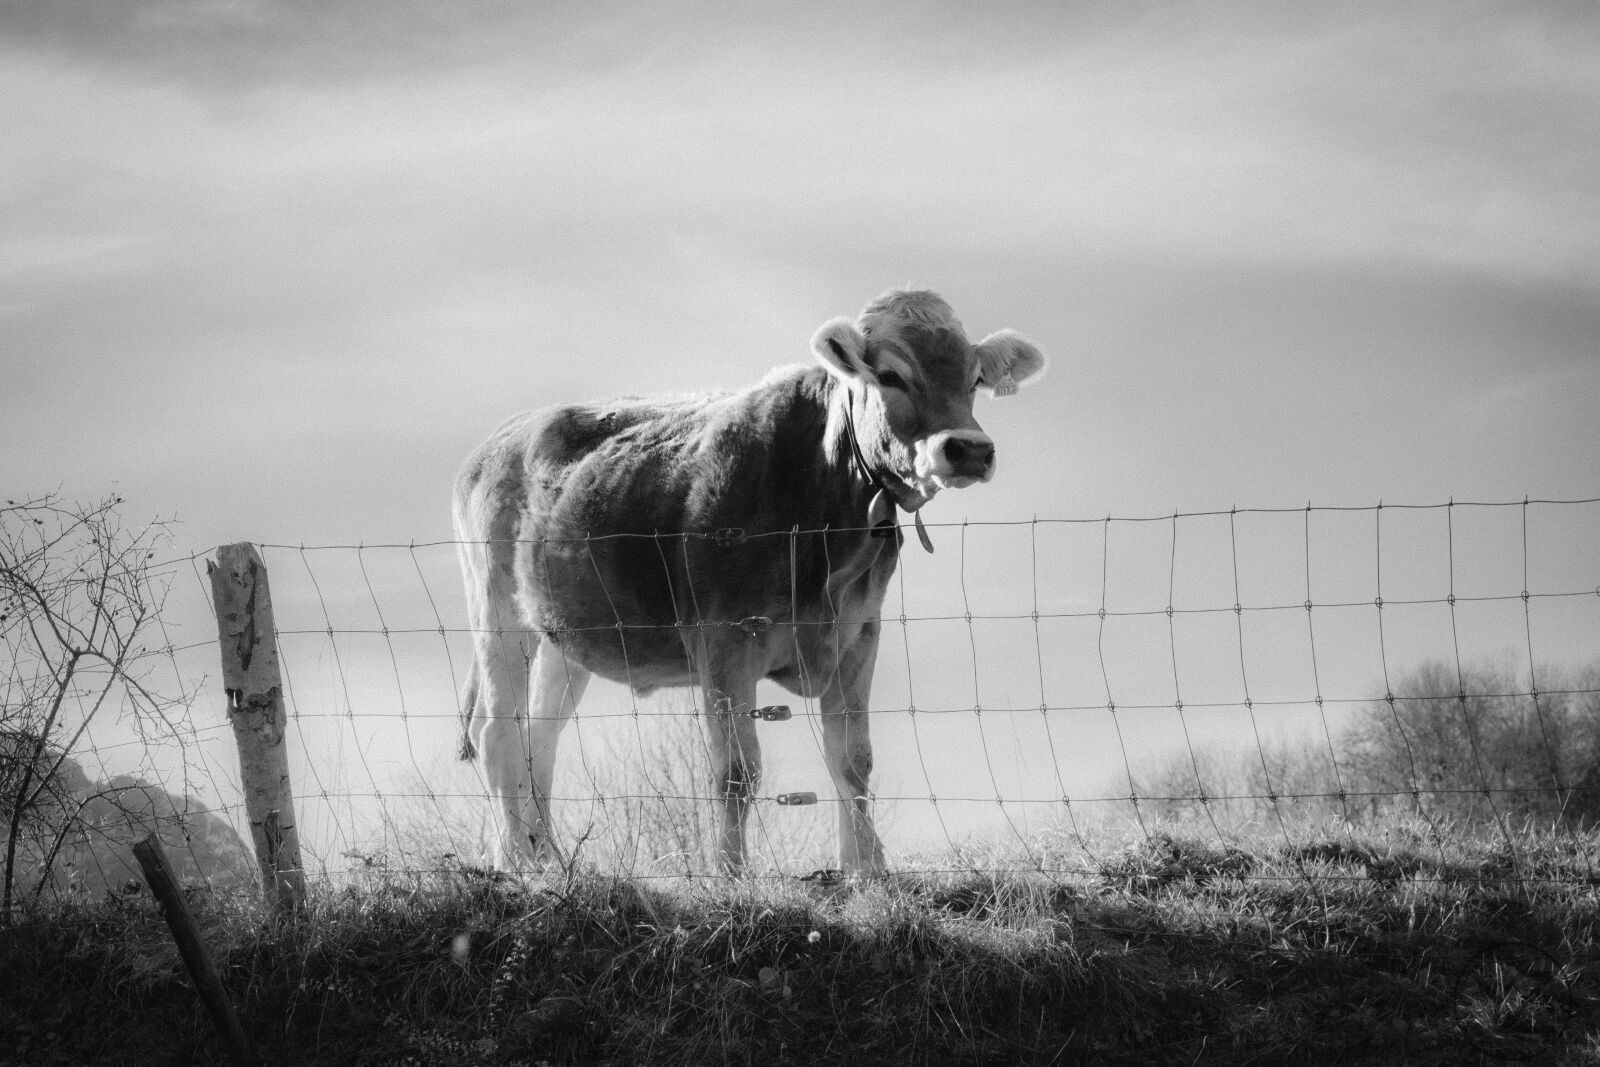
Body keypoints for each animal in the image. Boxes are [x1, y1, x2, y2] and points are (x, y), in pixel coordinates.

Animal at [452, 288, 1046, 875]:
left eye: (973, 379)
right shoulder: (723, 640)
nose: (969, 448)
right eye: (891, 375)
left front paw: (865, 871)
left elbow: (853, 761)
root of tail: (503, 437)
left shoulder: (858, 636)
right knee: (498, 731)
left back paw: (548, 861)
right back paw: (514, 860)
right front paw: (732, 875)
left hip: (566, 635)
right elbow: (736, 771)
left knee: (539, 736)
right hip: (497, 611)